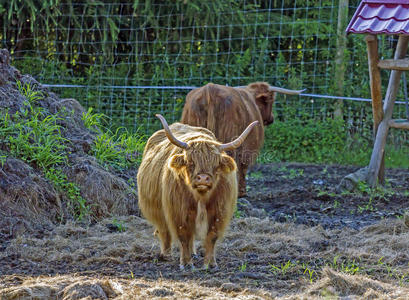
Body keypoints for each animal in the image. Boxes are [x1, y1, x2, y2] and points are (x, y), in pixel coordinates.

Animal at [138, 115, 258, 270]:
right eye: (190, 162)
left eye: (216, 164)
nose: (203, 178)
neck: (201, 196)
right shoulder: (178, 211)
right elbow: (183, 234)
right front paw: (186, 263)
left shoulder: (219, 211)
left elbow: (212, 236)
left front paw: (210, 263)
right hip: (158, 209)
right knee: (164, 230)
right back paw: (166, 254)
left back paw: (193, 253)